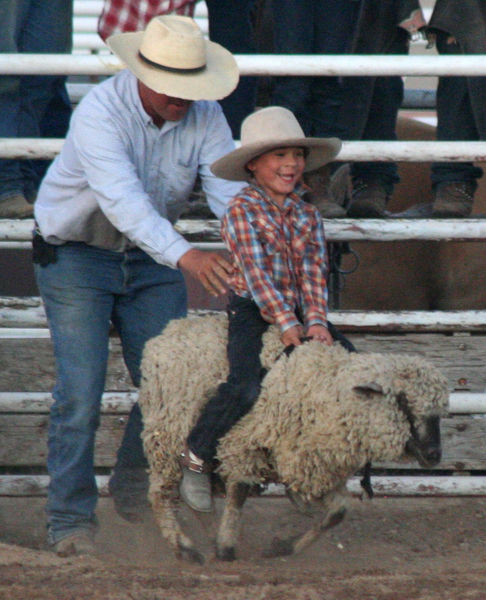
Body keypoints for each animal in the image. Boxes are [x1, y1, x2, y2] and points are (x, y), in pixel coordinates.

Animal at [137, 314, 448, 564]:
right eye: (403, 402)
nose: (434, 454)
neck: (325, 389)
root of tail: (164, 335)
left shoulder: (316, 465)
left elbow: (338, 512)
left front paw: (283, 548)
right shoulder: (244, 444)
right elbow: (238, 495)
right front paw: (227, 548)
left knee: (197, 502)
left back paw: (208, 534)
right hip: (167, 434)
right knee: (159, 494)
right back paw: (185, 548)